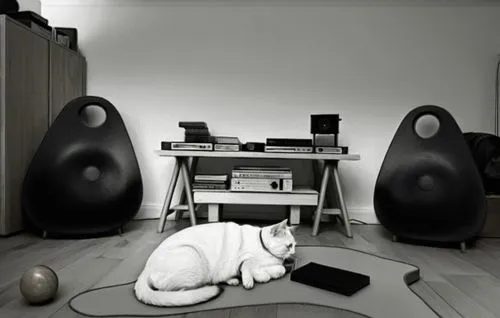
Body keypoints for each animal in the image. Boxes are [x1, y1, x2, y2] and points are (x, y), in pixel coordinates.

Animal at [134, 220, 296, 306]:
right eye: (289, 246)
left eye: (294, 245)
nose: (293, 253)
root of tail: (145, 269)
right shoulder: (243, 260)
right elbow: (249, 267)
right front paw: (253, 279)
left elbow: (278, 269)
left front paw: (270, 273)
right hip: (194, 262)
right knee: (176, 290)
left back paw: (231, 280)